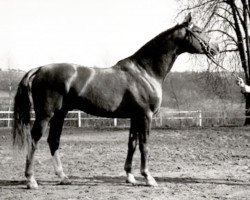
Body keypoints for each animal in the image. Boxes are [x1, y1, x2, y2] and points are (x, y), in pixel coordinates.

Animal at [12, 13, 219, 188]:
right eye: (199, 30)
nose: (215, 48)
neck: (145, 71)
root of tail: (39, 69)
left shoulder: (135, 117)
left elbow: (132, 144)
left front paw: (130, 176)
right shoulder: (146, 116)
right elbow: (144, 145)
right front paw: (148, 177)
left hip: (60, 114)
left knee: (53, 140)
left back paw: (63, 177)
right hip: (46, 115)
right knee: (35, 139)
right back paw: (31, 180)